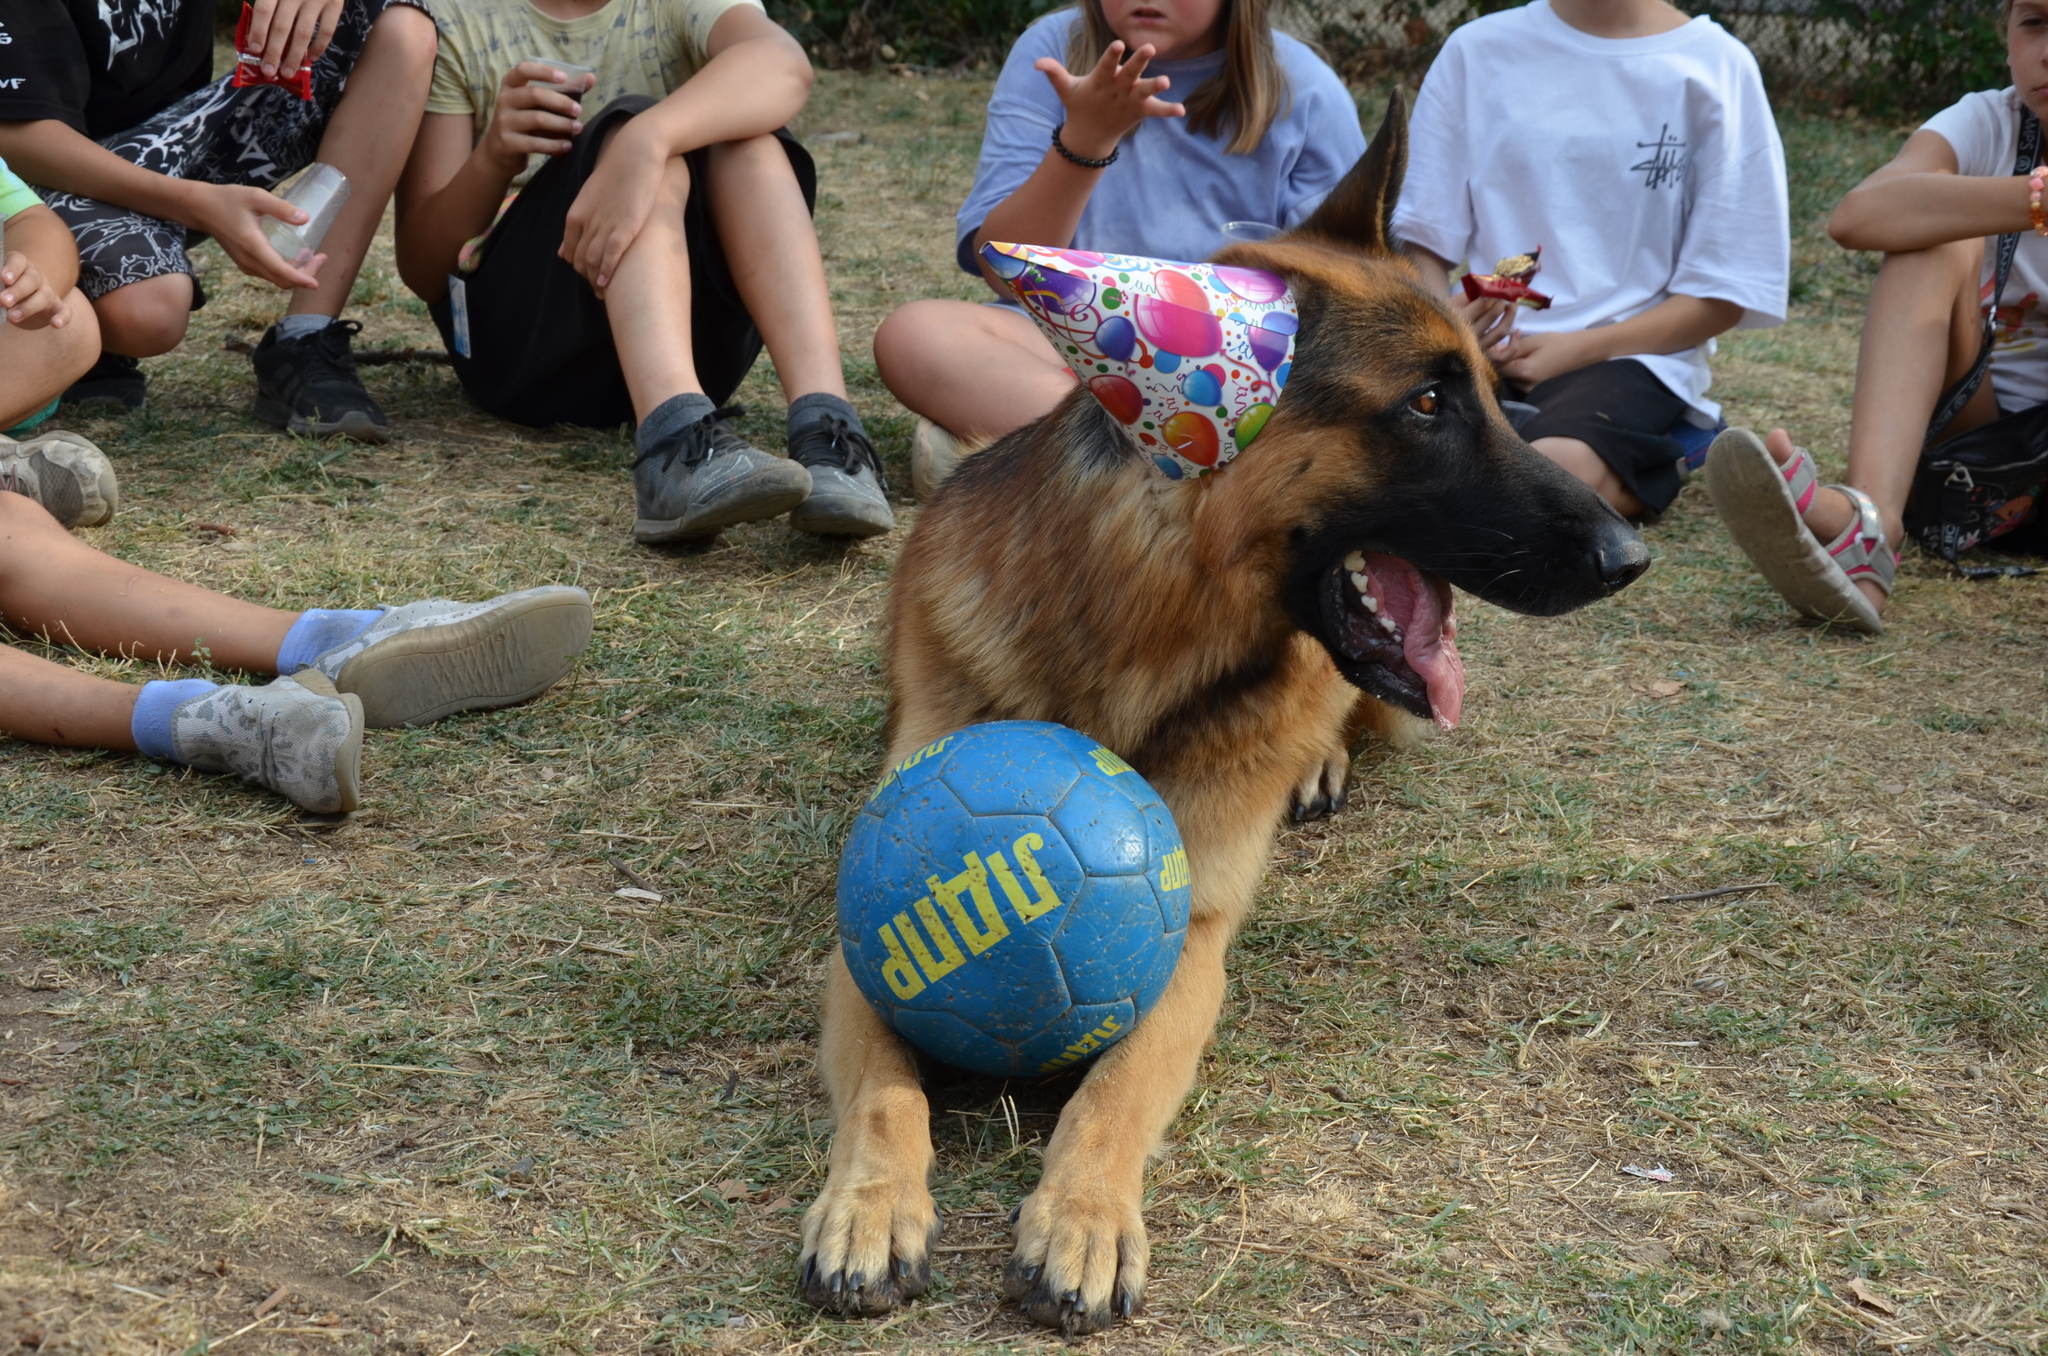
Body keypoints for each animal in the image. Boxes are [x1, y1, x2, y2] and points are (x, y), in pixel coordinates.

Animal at [798, 95, 1646, 1335]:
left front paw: (1084, 1217)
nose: (1631, 556)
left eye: (1492, 395)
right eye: (1425, 403)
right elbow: (883, 1092)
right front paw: (868, 1204)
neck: (1133, 642)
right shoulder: (863, 923)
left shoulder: (1188, 937)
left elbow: (1113, 1087)